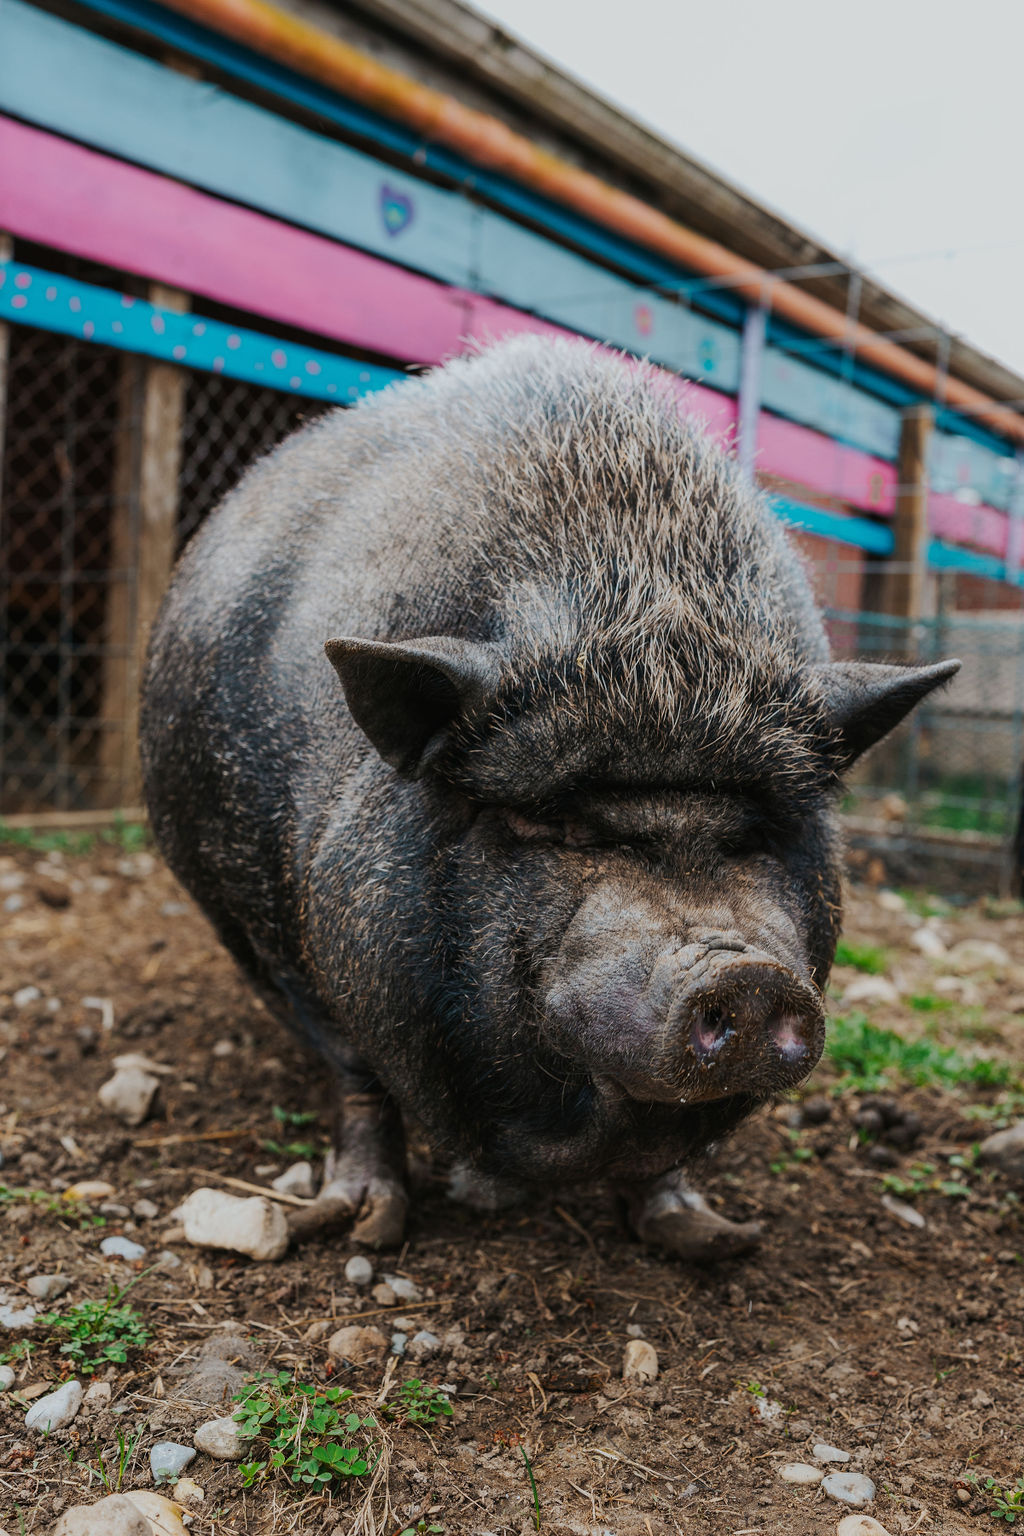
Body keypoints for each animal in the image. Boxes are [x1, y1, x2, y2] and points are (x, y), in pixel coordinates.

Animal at [140, 336, 958, 1261]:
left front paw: (717, 1240)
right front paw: (365, 1228)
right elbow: (359, 1075)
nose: (745, 972)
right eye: (554, 824)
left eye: (756, 832)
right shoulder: (274, 934)